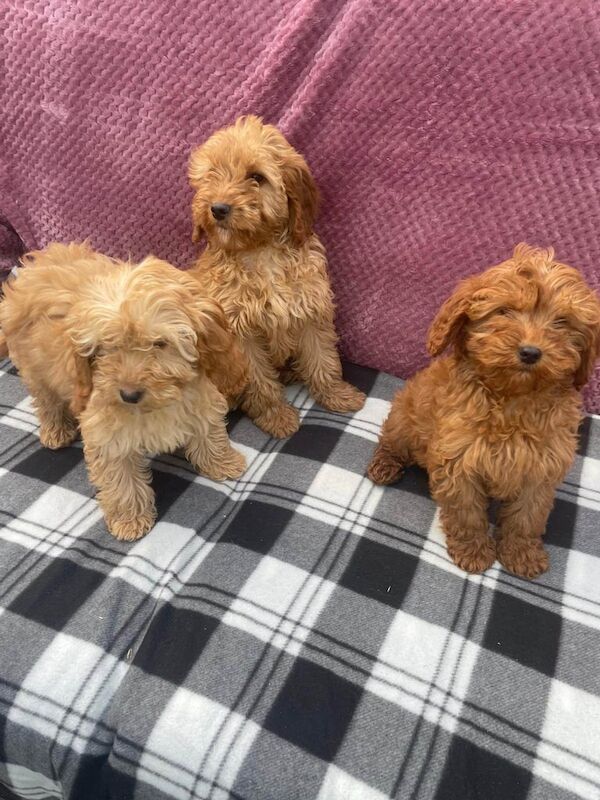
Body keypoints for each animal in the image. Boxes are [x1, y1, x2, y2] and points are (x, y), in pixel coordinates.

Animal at [0, 244, 246, 540]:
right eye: (108, 347)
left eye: (159, 343)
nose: (128, 395)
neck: (155, 405)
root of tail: (34, 265)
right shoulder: (106, 433)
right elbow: (121, 479)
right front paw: (129, 519)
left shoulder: (199, 398)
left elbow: (209, 431)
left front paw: (224, 462)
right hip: (36, 369)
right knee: (46, 401)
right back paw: (56, 430)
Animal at [188, 115, 366, 438]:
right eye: (211, 175)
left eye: (256, 177)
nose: (217, 208)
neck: (261, 251)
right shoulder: (241, 334)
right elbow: (260, 382)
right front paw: (275, 416)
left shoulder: (311, 312)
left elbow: (323, 360)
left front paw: (336, 394)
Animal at [368, 241, 596, 580]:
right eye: (504, 312)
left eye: (562, 322)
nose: (530, 352)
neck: (512, 399)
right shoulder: (459, 461)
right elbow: (466, 514)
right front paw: (472, 551)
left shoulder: (541, 468)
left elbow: (527, 517)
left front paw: (521, 554)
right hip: (404, 417)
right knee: (391, 440)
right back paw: (384, 464)